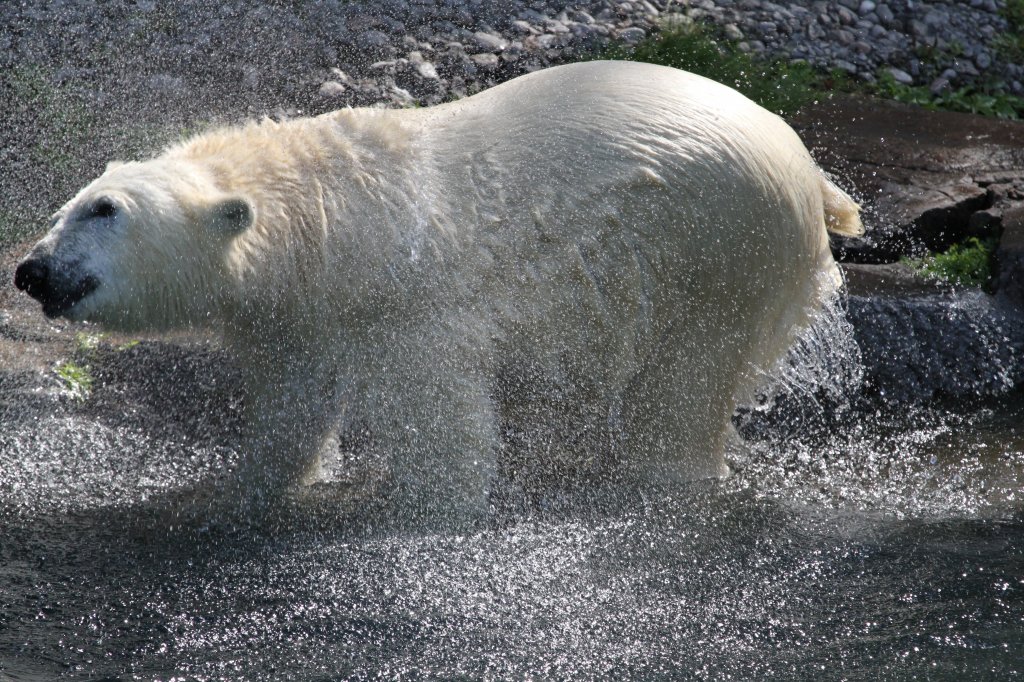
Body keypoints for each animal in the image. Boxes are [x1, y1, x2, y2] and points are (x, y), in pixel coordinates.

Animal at [18, 61, 864, 518]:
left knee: (681, 387)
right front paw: (235, 491)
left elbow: (442, 426)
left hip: (721, 251)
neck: (328, 217)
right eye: (68, 207)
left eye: (105, 210)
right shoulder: (304, 315)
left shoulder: (415, 305)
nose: (31, 271)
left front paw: (409, 510)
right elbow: (292, 407)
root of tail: (812, 173)